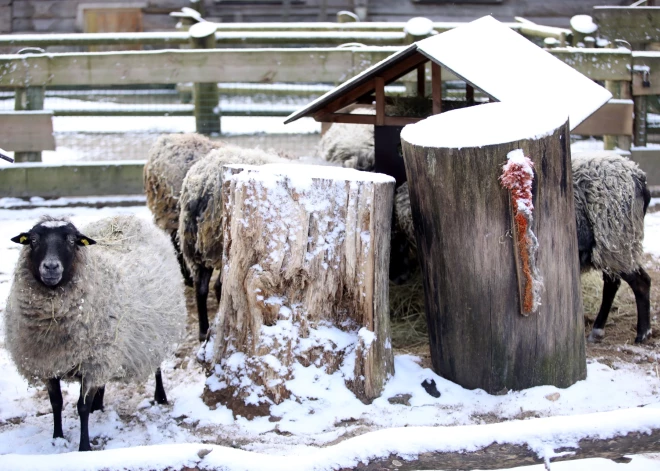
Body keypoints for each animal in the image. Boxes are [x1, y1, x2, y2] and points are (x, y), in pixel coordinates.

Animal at [5, 216, 186, 452]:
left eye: (72, 241)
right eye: (33, 240)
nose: (51, 267)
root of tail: (128, 218)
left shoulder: (92, 365)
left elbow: (82, 407)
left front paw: (84, 447)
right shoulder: (49, 364)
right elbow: (56, 403)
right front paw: (57, 438)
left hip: (155, 333)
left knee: (156, 365)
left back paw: (160, 396)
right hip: (111, 348)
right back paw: (99, 405)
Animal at [177, 146, 290, 342]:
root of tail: (201, 188)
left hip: (199, 246)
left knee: (202, 287)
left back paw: (203, 331)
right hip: (224, 244)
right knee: (219, 286)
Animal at [394, 153, 652, 344]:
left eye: (401, 241)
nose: (399, 277)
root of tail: (638, 176)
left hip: (616, 238)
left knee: (639, 282)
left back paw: (642, 333)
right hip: (614, 245)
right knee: (615, 282)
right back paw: (600, 330)